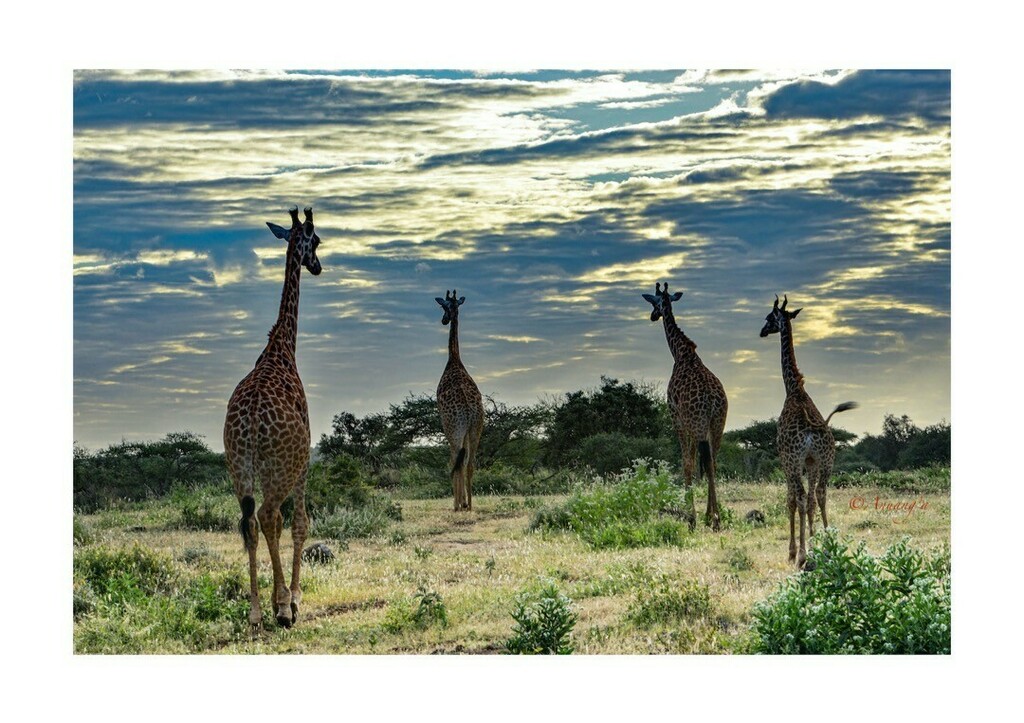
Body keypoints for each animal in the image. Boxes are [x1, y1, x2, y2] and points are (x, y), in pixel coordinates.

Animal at [642, 282, 729, 531]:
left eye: (654, 303)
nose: (653, 316)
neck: (681, 353)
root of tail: (712, 400)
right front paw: (704, 514)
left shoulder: (677, 418)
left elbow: (686, 463)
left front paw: (691, 516)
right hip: (717, 425)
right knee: (713, 463)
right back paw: (714, 517)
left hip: (697, 424)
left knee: (703, 463)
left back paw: (708, 518)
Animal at [760, 294, 857, 568]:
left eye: (769, 318)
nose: (762, 331)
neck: (794, 390)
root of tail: (814, 430)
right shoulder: (812, 461)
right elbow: (813, 502)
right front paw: (816, 543)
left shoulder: (786, 459)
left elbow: (792, 500)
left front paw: (795, 551)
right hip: (826, 460)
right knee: (821, 495)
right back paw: (829, 546)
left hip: (795, 461)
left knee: (802, 497)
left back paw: (802, 554)